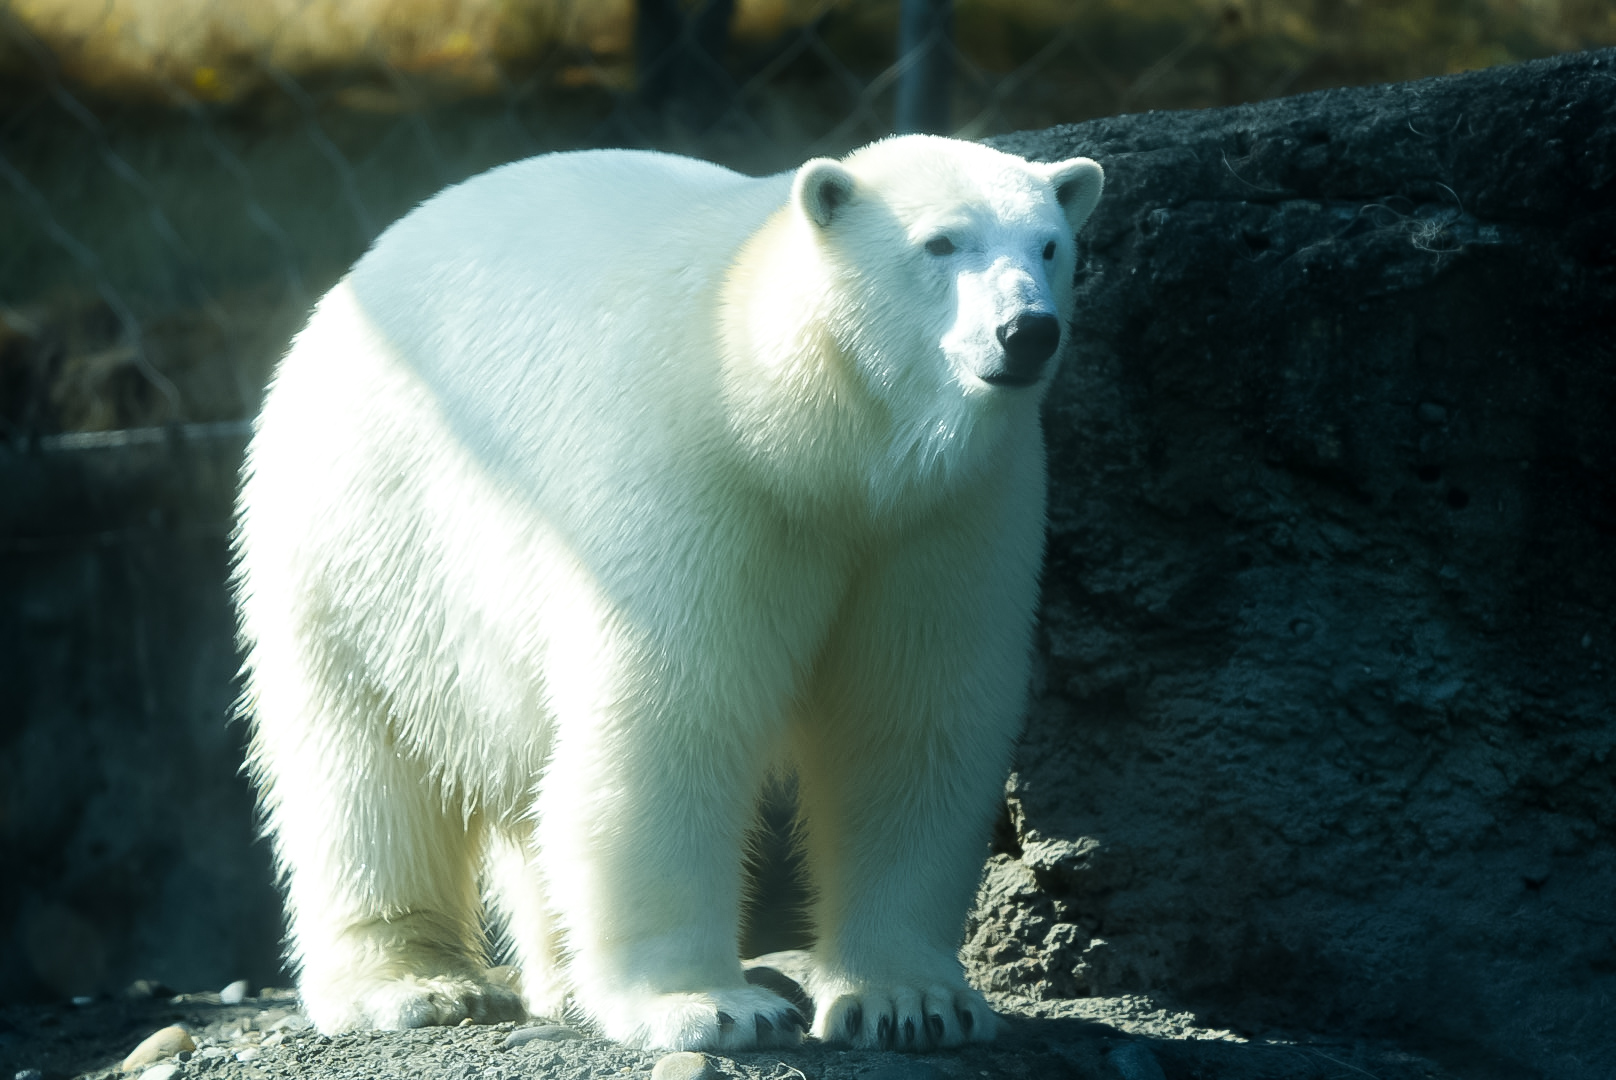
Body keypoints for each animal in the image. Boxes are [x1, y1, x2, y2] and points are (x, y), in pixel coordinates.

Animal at [232, 134, 1103, 1052]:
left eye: (1051, 246)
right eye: (940, 242)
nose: (1027, 331)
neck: (810, 435)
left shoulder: (946, 516)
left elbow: (908, 722)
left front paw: (911, 1003)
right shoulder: (700, 482)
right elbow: (670, 719)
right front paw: (710, 1005)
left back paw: (562, 981)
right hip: (365, 547)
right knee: (363, 767)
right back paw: (414, 985)